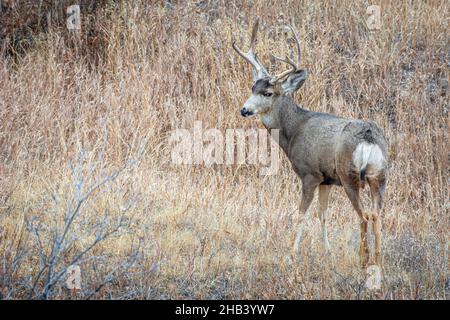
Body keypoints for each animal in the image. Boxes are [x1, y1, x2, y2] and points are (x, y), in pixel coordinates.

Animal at [232, 19, 386, 268]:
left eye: (267, 93)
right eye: (252, 88)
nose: (244, 110)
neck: (293, 131)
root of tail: (369, 138)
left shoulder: (310, 174)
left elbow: (301, 214)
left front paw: (291, 253)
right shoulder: (326, 179)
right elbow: (322, 214)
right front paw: (327, 251)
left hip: (350, 177)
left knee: (364, 215)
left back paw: (363, 259)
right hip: (379, 176)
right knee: (377, 214)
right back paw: (378, 260)